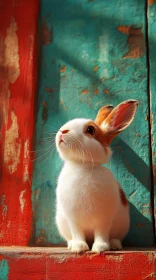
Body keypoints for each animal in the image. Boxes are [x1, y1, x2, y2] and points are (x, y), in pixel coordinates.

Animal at [54, 99, 138, 253]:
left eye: (90, 130)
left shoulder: (103, 219)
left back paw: (114, 244)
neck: (83, 167)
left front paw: (100, 248)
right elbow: (77, 233)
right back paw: (71, 244)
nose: (62, 131)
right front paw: (79, 247)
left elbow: (101, 233)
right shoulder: (73, 219)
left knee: (114, 237)